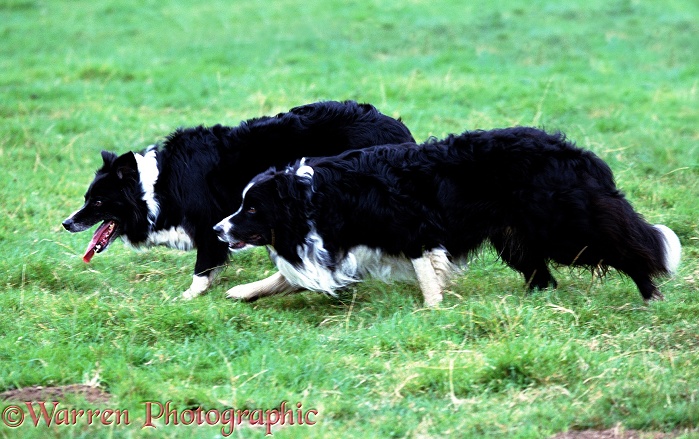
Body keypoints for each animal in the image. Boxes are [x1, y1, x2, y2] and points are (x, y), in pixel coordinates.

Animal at [61, 100, 416, 300]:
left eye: (97, 202)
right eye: (87, 198)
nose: (66, 222)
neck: (158, 185)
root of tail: (399, 130)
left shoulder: (209, 224)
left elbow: (203, 267)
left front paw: (188, 297)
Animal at [215, 127, 684, 306]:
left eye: (251, 208)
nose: (219, 230)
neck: (312, 196)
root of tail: (579, 154)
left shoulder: (414, 228)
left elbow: (427, 273)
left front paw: (433, 309)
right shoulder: (344, 243)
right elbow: (286, 276)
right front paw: (244, 291)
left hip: (564, 227)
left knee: (626, 246)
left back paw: (650, 294)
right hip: (517, 236)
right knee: (542, 274)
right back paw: (534, 301)